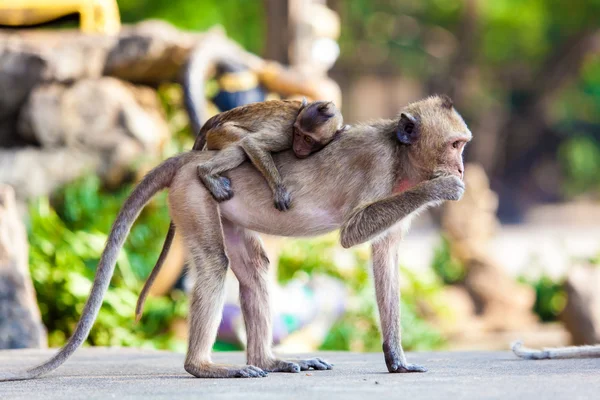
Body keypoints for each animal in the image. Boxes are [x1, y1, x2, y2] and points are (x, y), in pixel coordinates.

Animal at [198, 99, 346, 211]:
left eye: (308, 139)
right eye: (298, 134)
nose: (298, 147)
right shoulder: (286, 134)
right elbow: (251, 143)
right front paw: (279, 189)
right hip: (220, 132)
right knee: (240, 146)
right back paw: (204, 171)